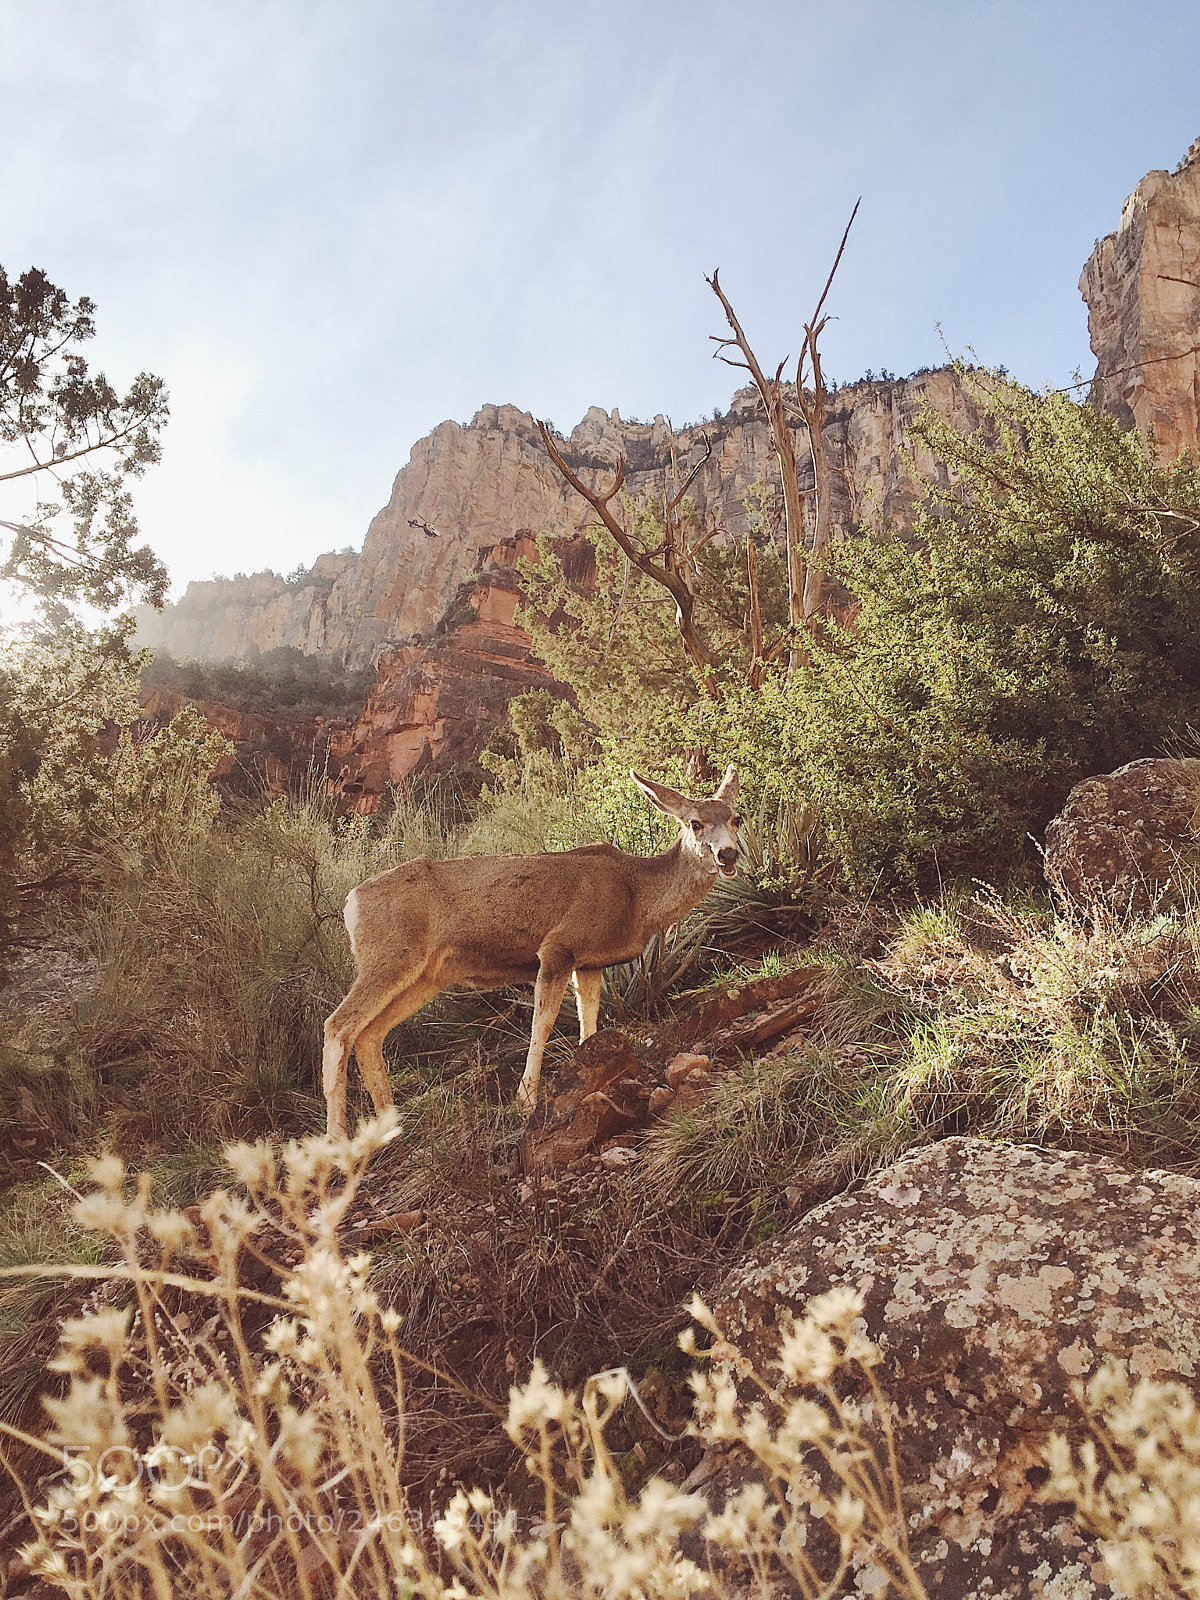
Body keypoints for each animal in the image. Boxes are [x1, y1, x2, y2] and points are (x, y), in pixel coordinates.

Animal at [321, 765, 742, 1136]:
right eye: (695, 823)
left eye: (736, 818)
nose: (728, 855)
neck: (634, 895)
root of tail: (351, 903)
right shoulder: (559, 947)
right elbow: (543, 1022)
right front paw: (525, 1101)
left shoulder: (590, 962)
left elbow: (589, 1023)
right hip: (389, 956)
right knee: (338, 1025)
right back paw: (338, 1138)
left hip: (426, 976)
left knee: (370, 1033)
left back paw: (390, 1126)